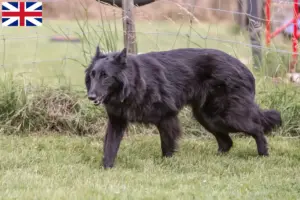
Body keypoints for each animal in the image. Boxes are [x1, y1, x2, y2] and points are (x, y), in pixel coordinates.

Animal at [84, 47, 282, 169]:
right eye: (93, 75)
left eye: (105, 76)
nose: (91, 97)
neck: (135, 82)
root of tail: (244, 68)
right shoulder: (116, 122)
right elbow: (110, 147)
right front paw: (106, 168)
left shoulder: (167, 117)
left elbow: (167, 145)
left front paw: (167, 163)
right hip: (207, 117)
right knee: (227, 142)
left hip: (228, 115)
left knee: (257, 128)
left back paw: (263, 154)